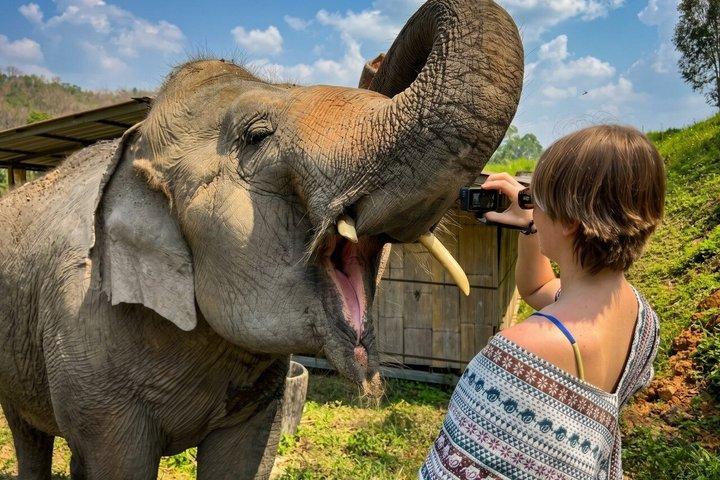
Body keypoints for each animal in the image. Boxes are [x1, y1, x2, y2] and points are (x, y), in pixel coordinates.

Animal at [0, 0, 523, 478]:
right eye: (256, 136)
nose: (374, 62)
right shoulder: (86, 353)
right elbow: (116, 462)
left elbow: (244, 458)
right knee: (27, 433)